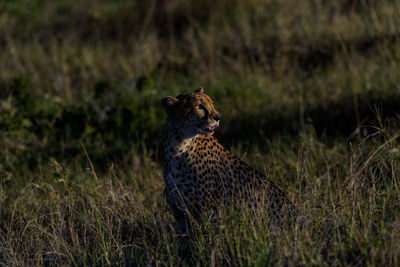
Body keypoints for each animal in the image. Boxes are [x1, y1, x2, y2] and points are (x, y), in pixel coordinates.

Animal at [161, 88, 296, 234]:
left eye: (212, 103)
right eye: (200, 106)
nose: (218, 117)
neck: (178, 147)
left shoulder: (209, 214)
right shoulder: (181, 217)